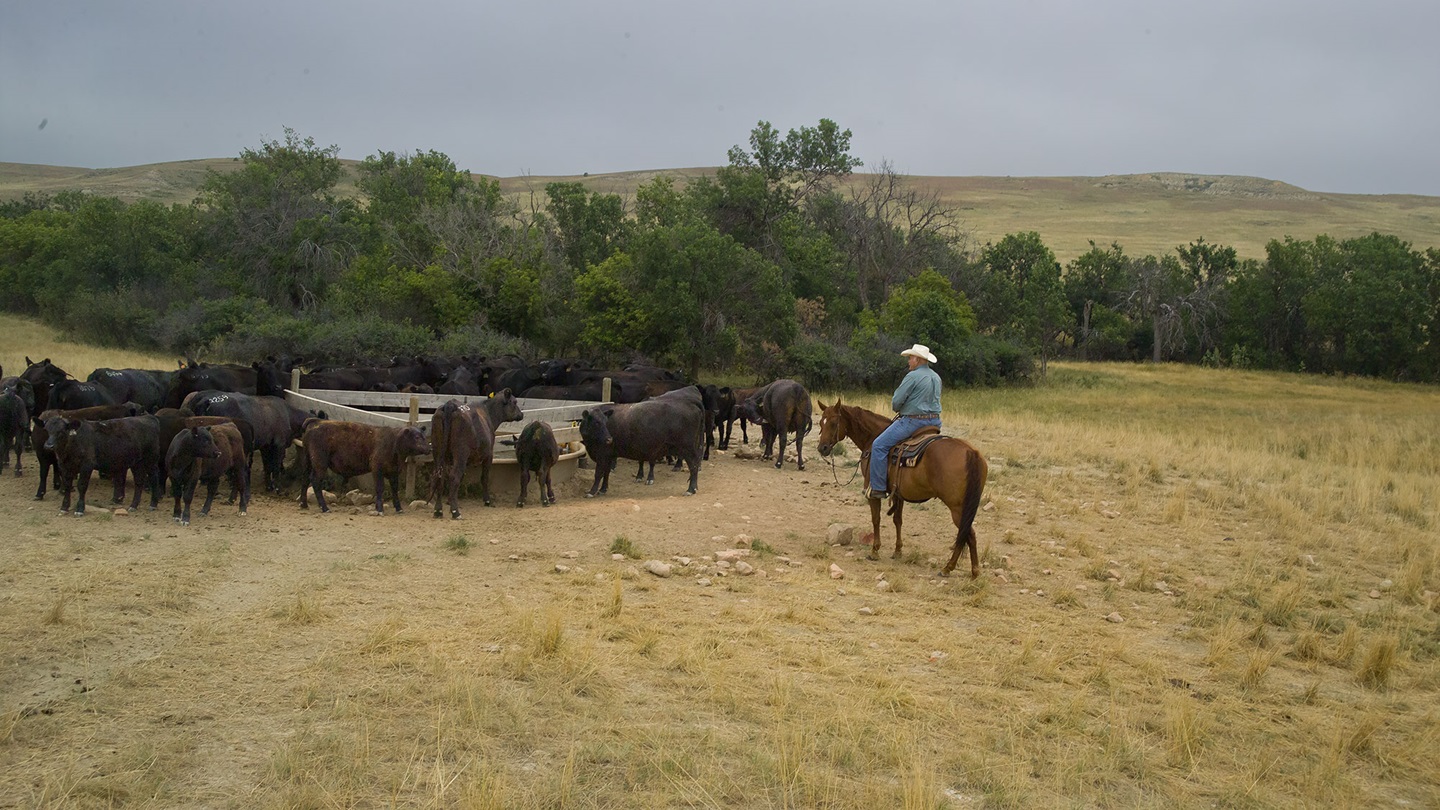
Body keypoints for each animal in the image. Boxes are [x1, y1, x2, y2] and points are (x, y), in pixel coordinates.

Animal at [297, 421, 430, 514]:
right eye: (417, 437)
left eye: (424, 436)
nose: (429, 448)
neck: (393, 443)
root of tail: (316, 423)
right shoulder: (377, 469)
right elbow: (380, 488)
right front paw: (379, 509)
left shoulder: (394, 472)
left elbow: (394, 490)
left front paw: (399, 508)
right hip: (320, 463)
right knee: (315, 481)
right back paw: (324, 508)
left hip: (307, 461)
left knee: (305, 479)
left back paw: (304, 504)